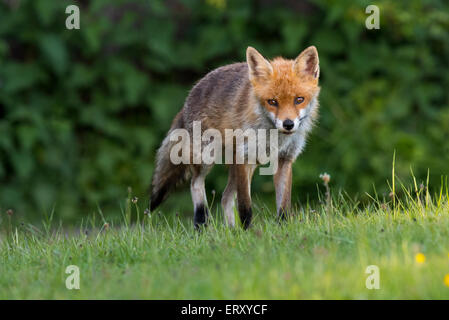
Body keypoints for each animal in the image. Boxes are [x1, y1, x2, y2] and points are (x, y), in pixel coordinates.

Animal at [150, 46, 318, 229]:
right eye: (272, 102)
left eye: (299, 100)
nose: (288, 124)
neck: (274, 138)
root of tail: (190, 95)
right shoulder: (243, 156)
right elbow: (245, 206)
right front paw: (248, 231)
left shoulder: (285, 159)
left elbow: (283, 205)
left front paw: (282, 228)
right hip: (207, 157)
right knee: (196, 184)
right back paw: (201, 223)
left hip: (247, 164)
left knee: (225, 197)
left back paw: (231, 230)